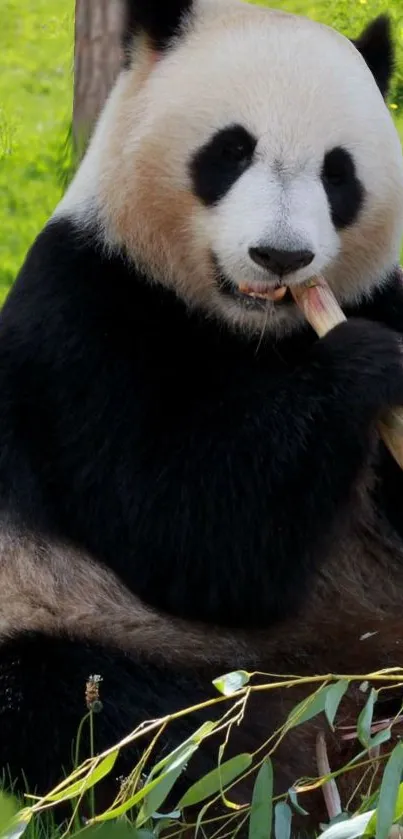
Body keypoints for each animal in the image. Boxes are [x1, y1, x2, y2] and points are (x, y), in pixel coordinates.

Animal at [1, 0, 403, 828]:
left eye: (337, 172)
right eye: (230, 151)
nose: (280, 256)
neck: (251, 331)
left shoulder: (382, 290)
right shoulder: (81, 315)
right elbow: (189, 535)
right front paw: (360, 365)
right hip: (75, 618)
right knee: (126, 727)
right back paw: (275, 783)